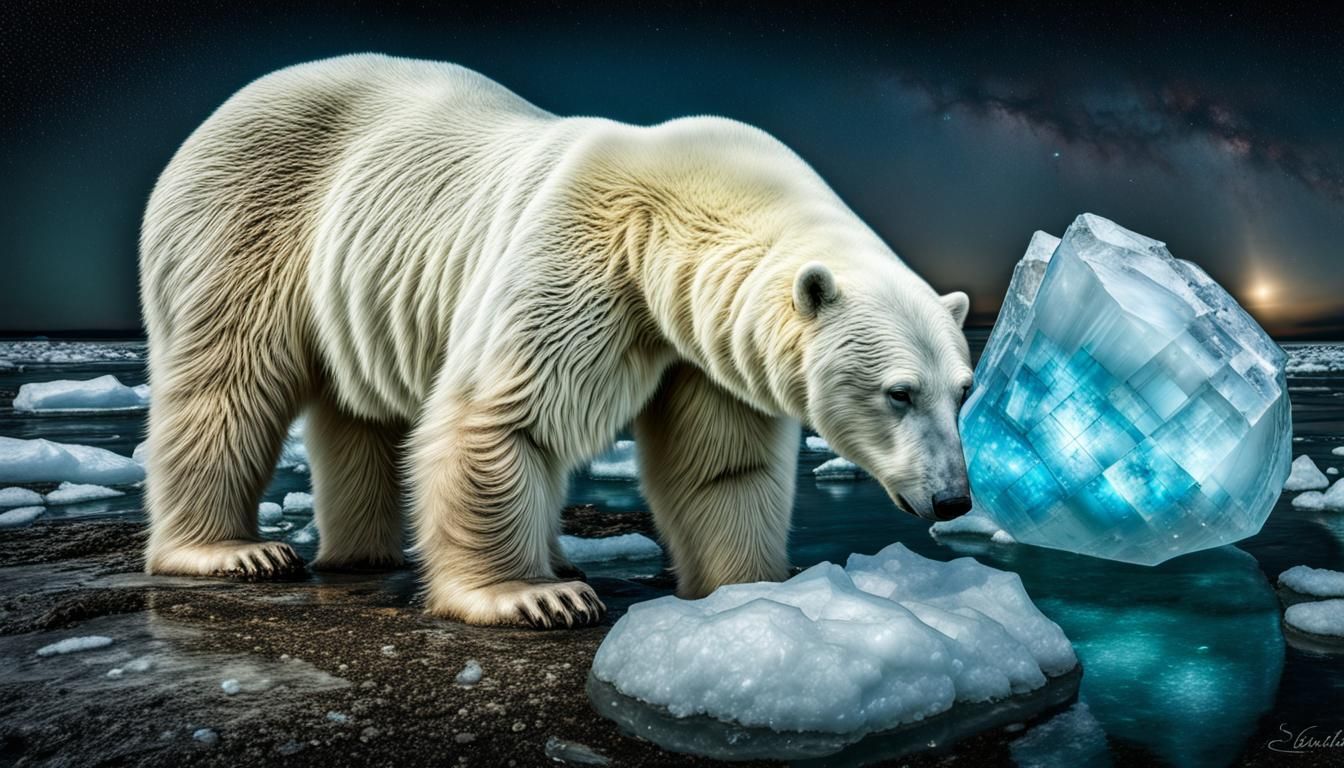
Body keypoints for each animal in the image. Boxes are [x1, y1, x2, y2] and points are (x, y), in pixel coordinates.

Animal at [140, 54, 974, 628]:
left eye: (963, 391)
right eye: (899, 393)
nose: (955, 498)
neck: (680, 211)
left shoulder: (706, 342)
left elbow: (721, 466)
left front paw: (756, 589)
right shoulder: (582, 255)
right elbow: (503, 415)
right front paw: (531, 598)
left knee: (358, 412)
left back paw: (364, 551)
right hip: (245, 220)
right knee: (227, 381)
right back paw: (232, 550)